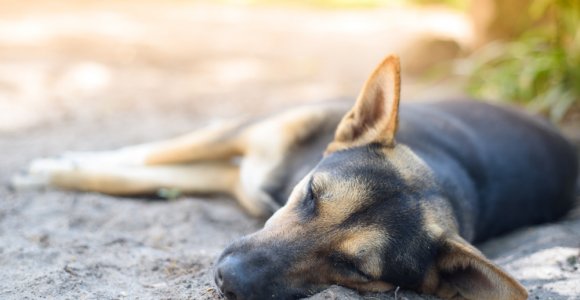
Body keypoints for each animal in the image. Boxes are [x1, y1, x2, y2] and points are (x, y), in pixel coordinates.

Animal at [11, 55, 576, 298]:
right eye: (311, 194)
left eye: (354, 269)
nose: (226, 279)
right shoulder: (244, 139)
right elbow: (142, 161)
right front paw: (55, 167)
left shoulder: (238, 176)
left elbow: (141, 175)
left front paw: (57, 170)